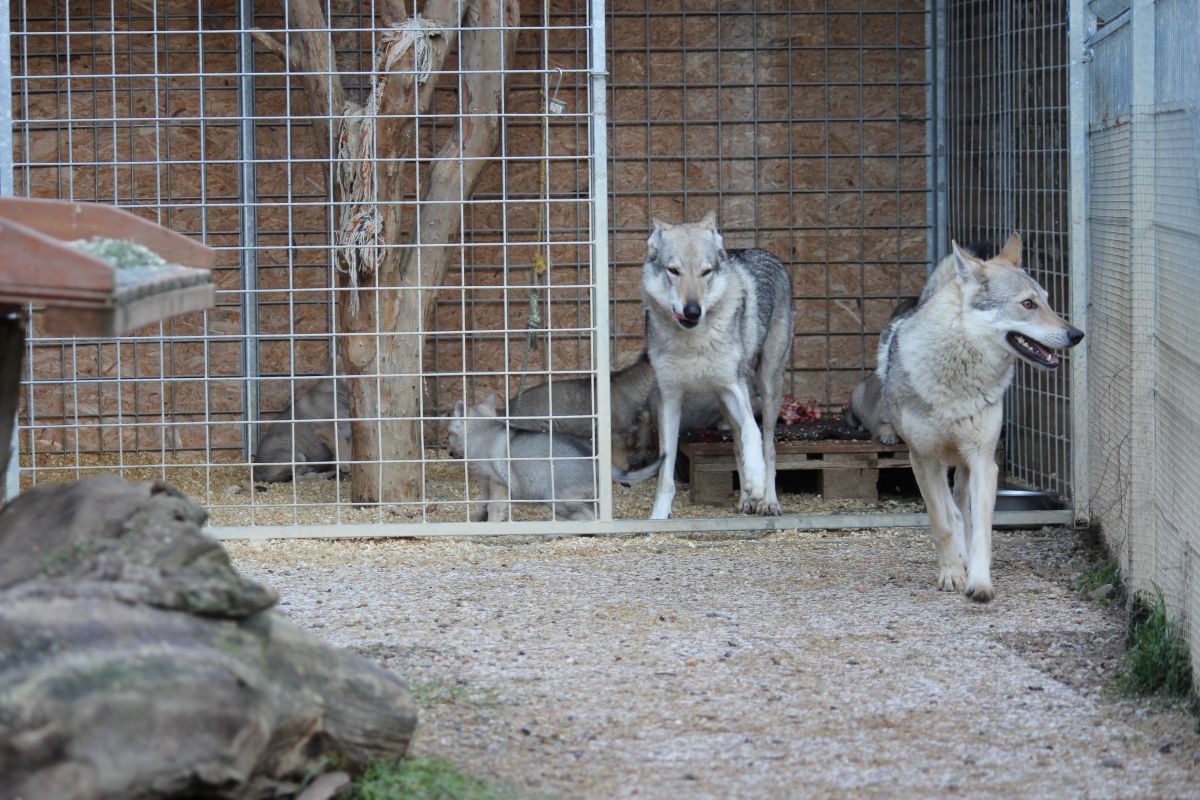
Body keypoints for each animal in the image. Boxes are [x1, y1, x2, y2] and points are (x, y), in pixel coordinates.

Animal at [448, 395, 662, 522]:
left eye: (449, 434)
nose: (449, 452)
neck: (483, 429)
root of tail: (597, 462)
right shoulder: (485, 482)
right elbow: (483, 503)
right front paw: (478, 518)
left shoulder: (497, 484)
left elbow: (493, 507)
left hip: (557, 499)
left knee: (588, 516)